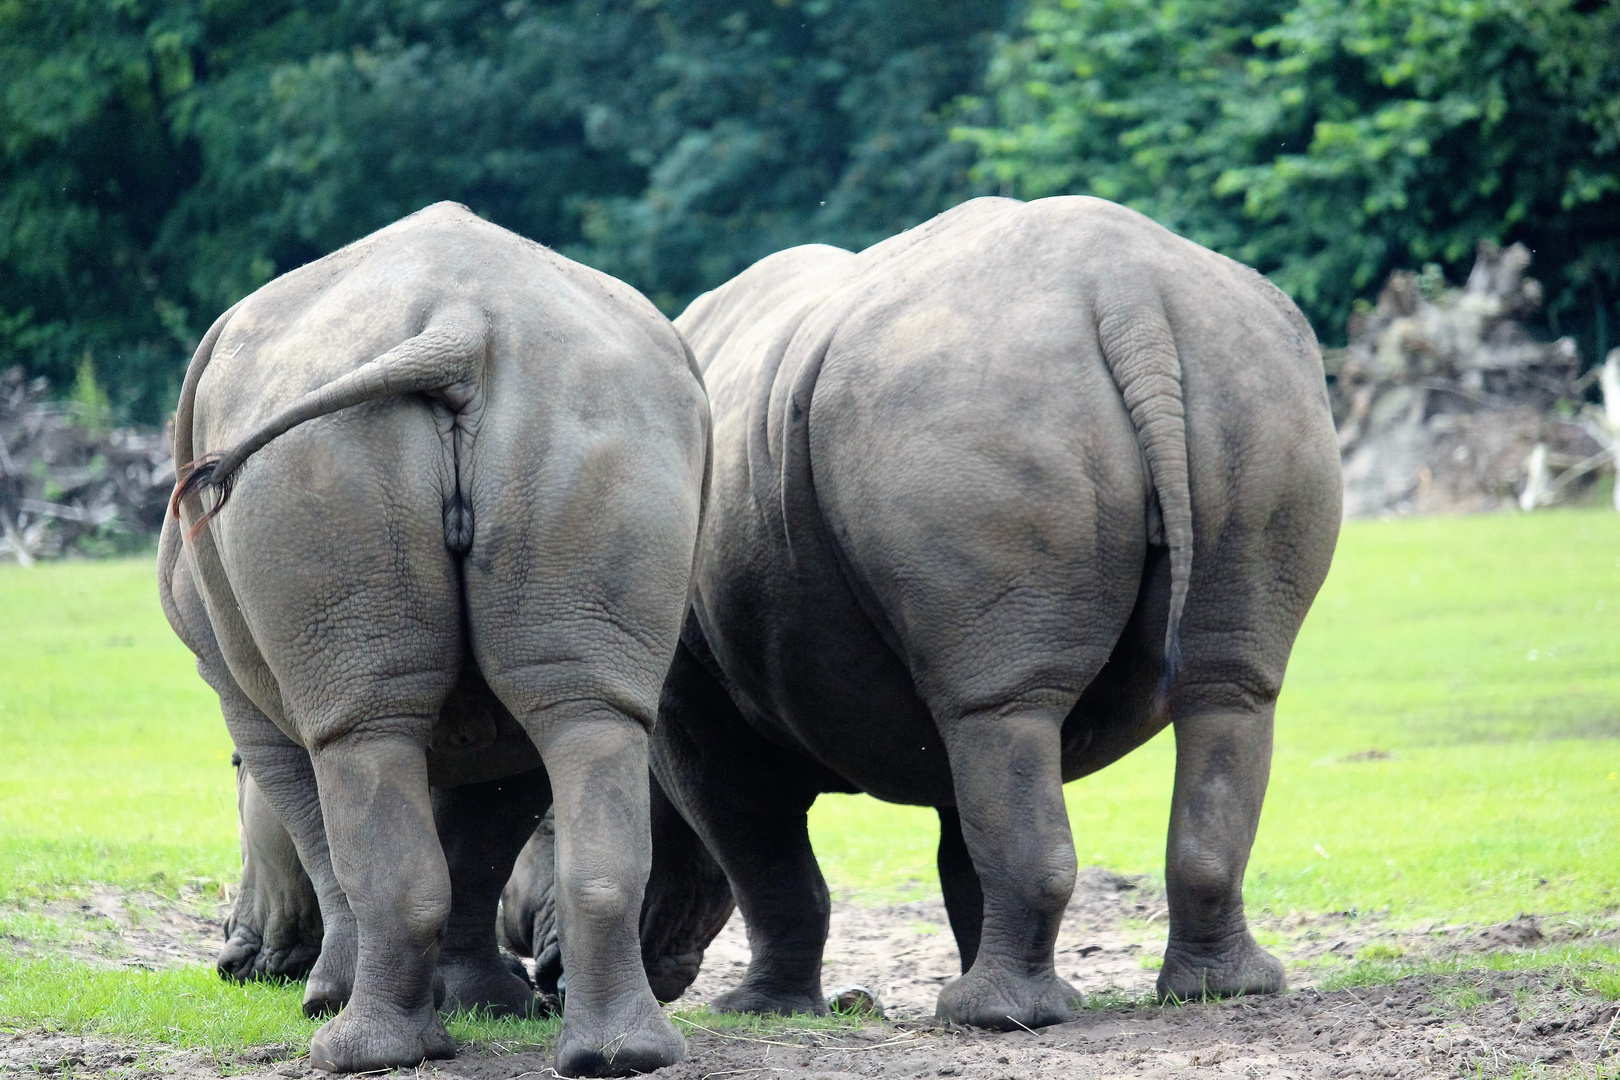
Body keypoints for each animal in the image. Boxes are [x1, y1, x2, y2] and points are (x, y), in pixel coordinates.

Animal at [159, 200, 709, 1075]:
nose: (230, 957)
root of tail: (460, 326)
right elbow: (481, 830)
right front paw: (489, 1006)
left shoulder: (232, 686)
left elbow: (310, 814)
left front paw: (327, 998)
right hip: (604, 417)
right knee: (582, 714)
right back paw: (622, 1054)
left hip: (322, 458)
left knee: (357, 734)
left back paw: (352, 1049)